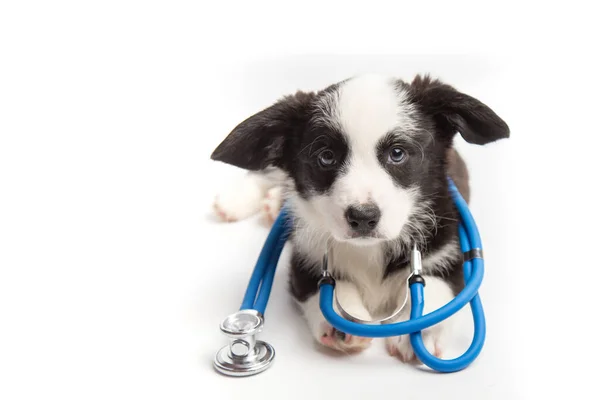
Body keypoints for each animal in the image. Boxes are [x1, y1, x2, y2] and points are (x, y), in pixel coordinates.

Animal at [209, 74, 508, 362]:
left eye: (397, 153)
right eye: (326, 156)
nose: (363, 217)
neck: (370, 250)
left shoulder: (450, 253)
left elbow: (436, 287)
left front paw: (419, 331)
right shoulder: (304, 260)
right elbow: (328, 285)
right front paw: (343, 321)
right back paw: (234, 202)